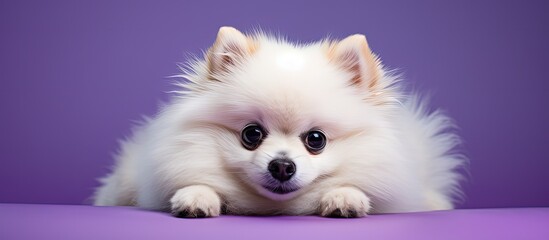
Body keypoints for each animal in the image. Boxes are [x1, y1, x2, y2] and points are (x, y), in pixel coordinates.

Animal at [93, 26, 462, 218]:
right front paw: (197, 196)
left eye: (316, 139)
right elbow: (197, 181)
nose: (282, 166)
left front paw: (344, 198)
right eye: (251, 134)